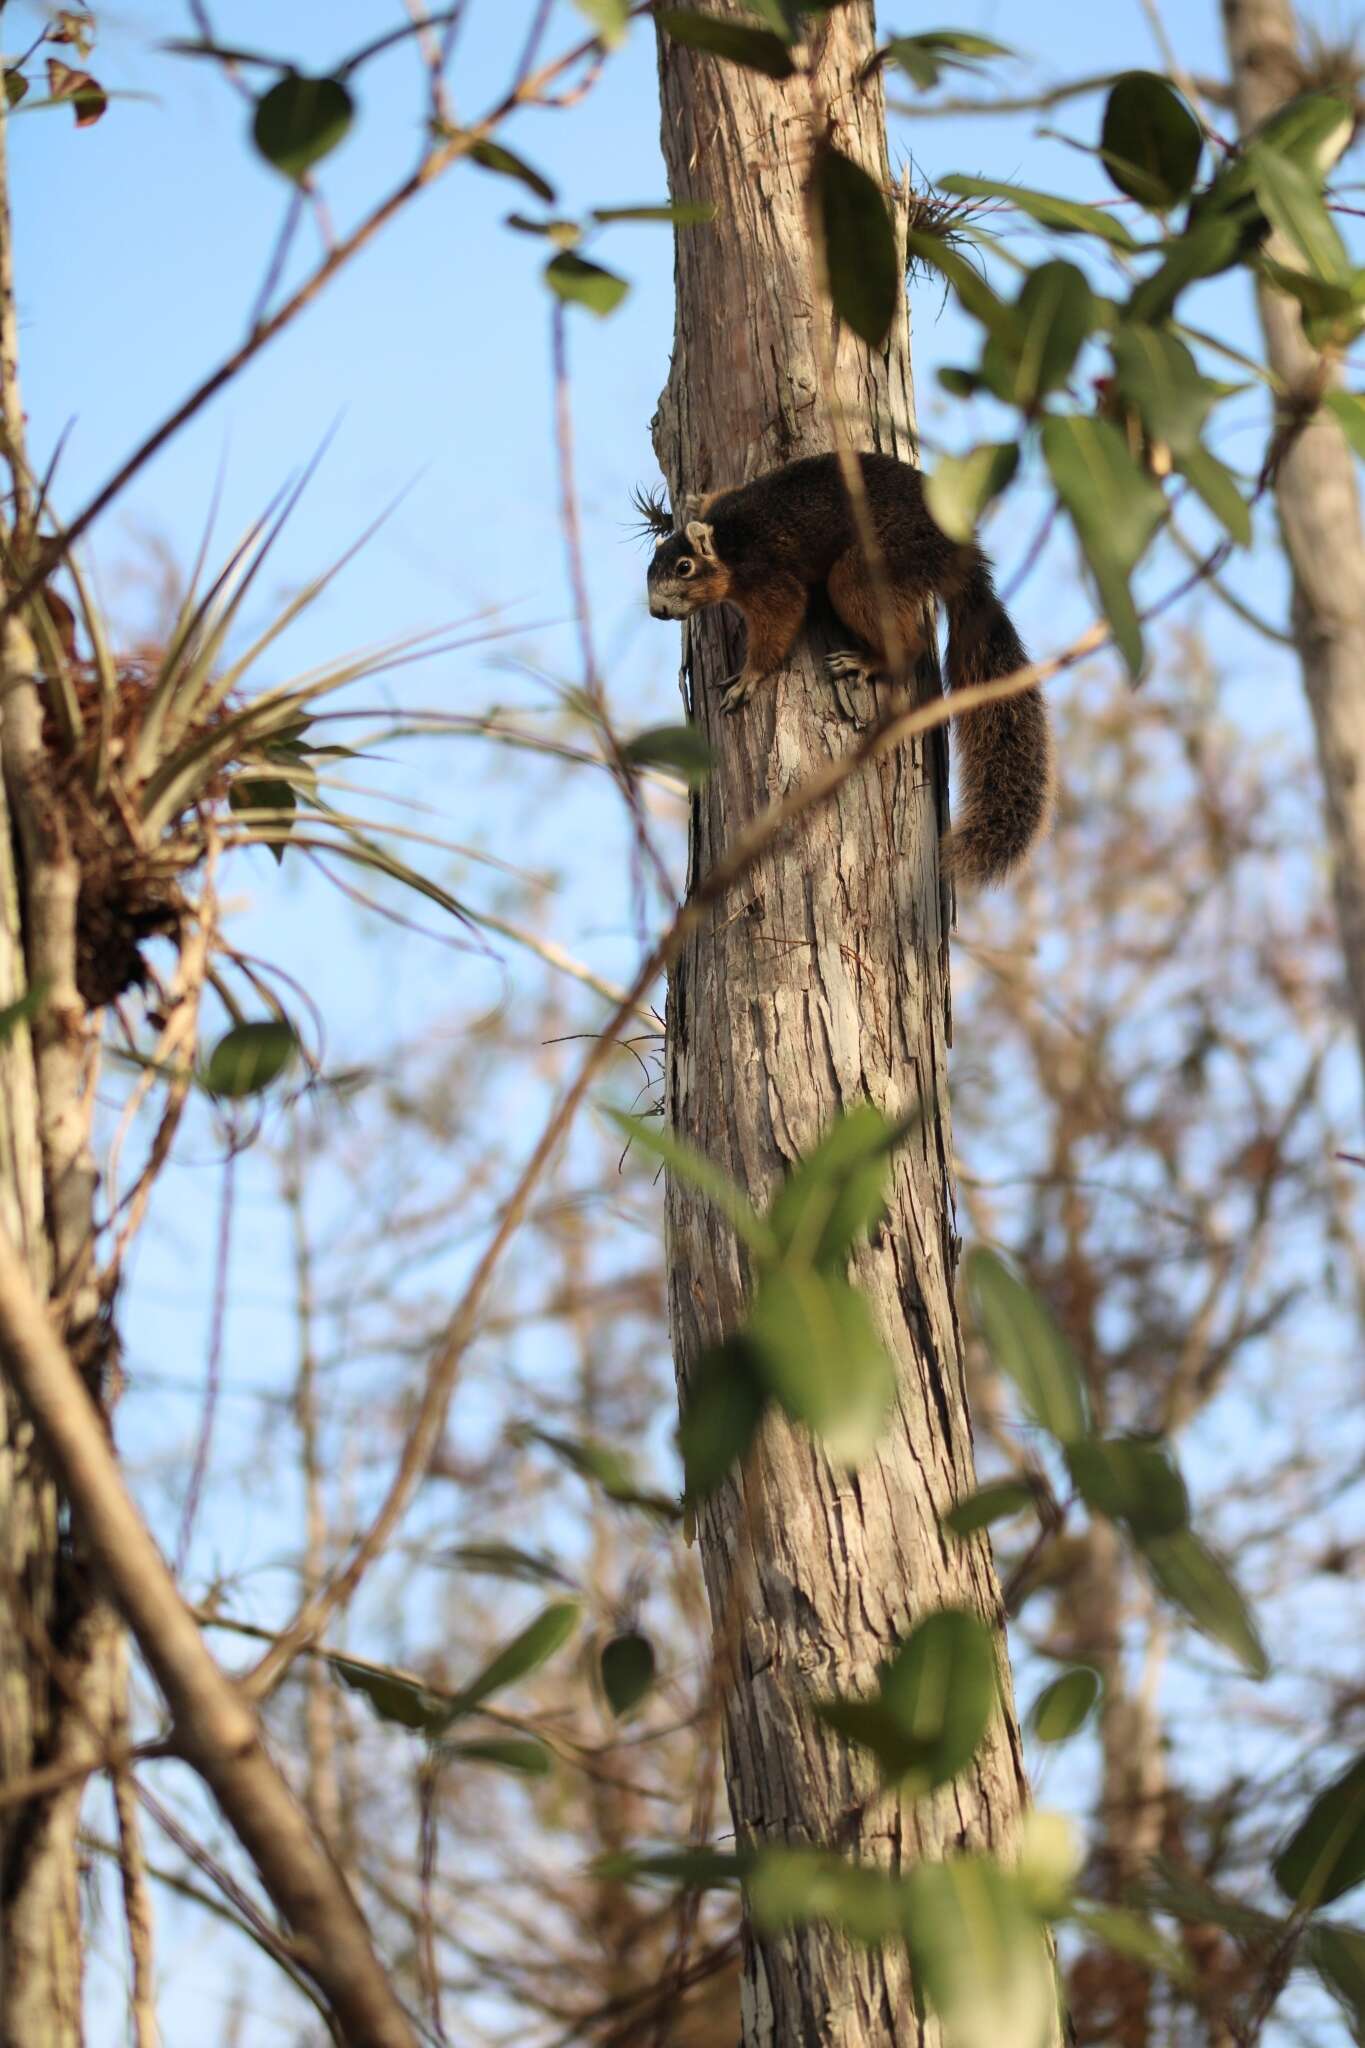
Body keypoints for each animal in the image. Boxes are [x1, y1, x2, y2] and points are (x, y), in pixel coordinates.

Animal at [646, 452, 1055, 884]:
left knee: (902, 640)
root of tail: (954, 555)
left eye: (685, 567)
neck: (728, 540)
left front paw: (749, 677)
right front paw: (696, 498)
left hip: (867, 569)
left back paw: (868, 661)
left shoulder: (768, 576)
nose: (657, 610)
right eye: (650, 569)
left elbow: (782, 617)